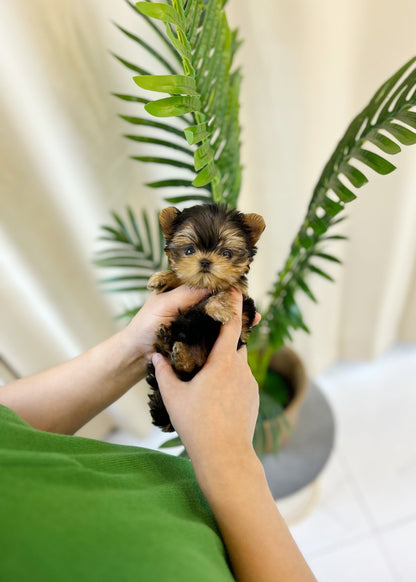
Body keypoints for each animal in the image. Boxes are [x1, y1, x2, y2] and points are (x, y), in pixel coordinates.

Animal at [147, 203, 264, 432]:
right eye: (189, 250)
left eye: (226, 253)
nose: (205, 261)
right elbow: (181, 279)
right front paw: (163, 278)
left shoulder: (244, 306)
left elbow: (225, 292)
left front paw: (218, 307)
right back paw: (166, 342)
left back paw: (180, 353)